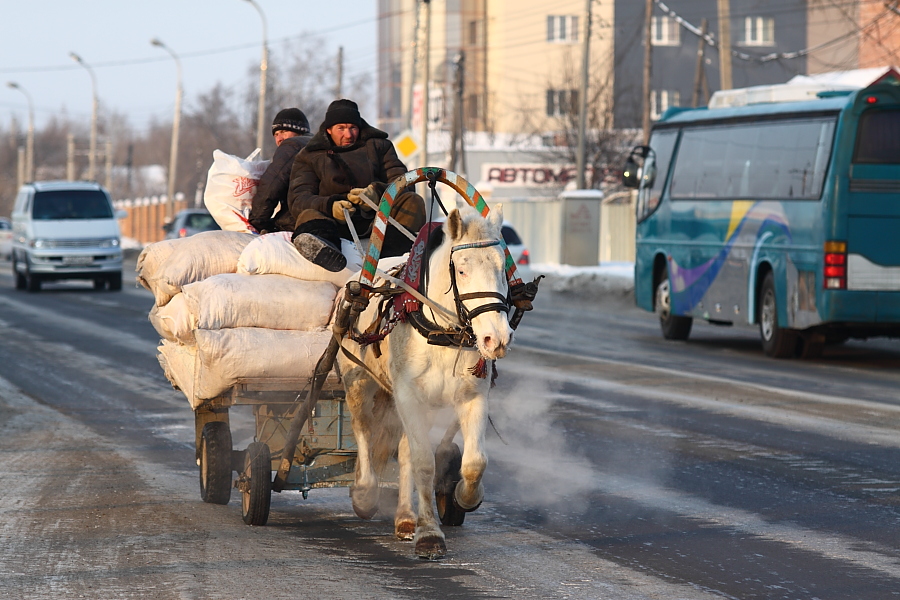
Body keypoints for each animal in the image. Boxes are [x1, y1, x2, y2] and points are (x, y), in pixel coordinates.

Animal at [336, 200, 512, 556]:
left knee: (402, 450)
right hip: (358, 384)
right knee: (364, 432)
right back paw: (365, 492)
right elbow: (423, 463)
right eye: (462, 269)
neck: (441, 332)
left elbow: (474, 462)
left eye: (502, 267)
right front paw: (429, 534)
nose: (496, 339)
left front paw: (463, 497)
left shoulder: (472, 396)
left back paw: (405, 518)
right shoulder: (408, 395)